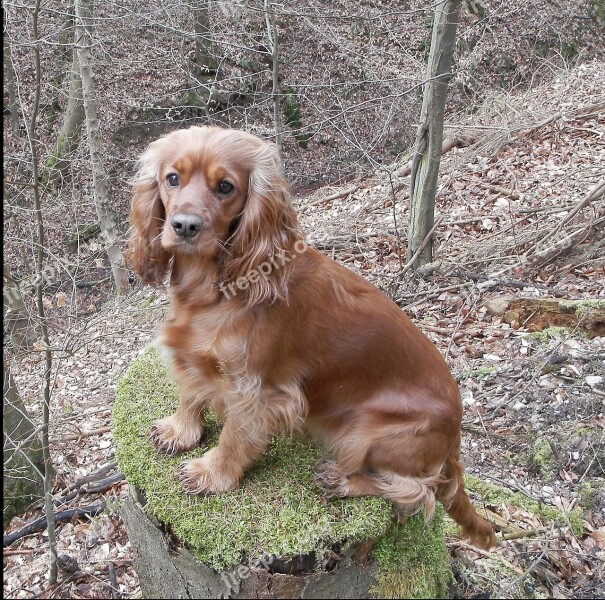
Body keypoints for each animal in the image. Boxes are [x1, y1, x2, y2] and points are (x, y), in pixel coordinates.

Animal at [126, 125, 496, 548]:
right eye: (172, 178)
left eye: (225, 187)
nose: (185, 226)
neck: (213, 285)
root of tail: (455, 440)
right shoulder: (195, 356)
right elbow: (191, 392)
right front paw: (180, 430)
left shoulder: (253, 388)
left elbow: (235, 436)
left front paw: (212, 473)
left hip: (366, 432)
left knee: (419, 491)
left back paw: (343, 480)